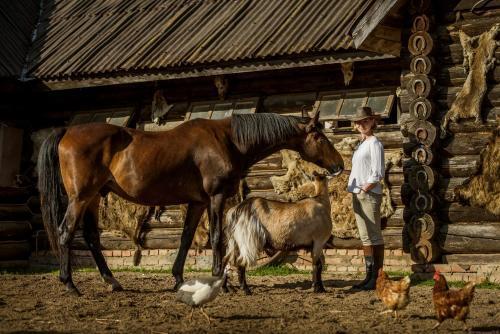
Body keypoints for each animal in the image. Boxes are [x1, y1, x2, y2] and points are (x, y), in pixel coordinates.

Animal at [38, 111, 344, 294]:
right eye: (318, 136)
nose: (339, 165)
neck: (228, 140)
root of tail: (67, 131)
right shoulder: (216, 197)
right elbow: (218, 237)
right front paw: (222, 281)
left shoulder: (197, 203)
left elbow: (186, 239)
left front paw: (178, 278)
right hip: (80, 198)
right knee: (66, 232)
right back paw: (70, 284)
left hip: (92, 198)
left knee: (91, 238)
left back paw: (112, 281)